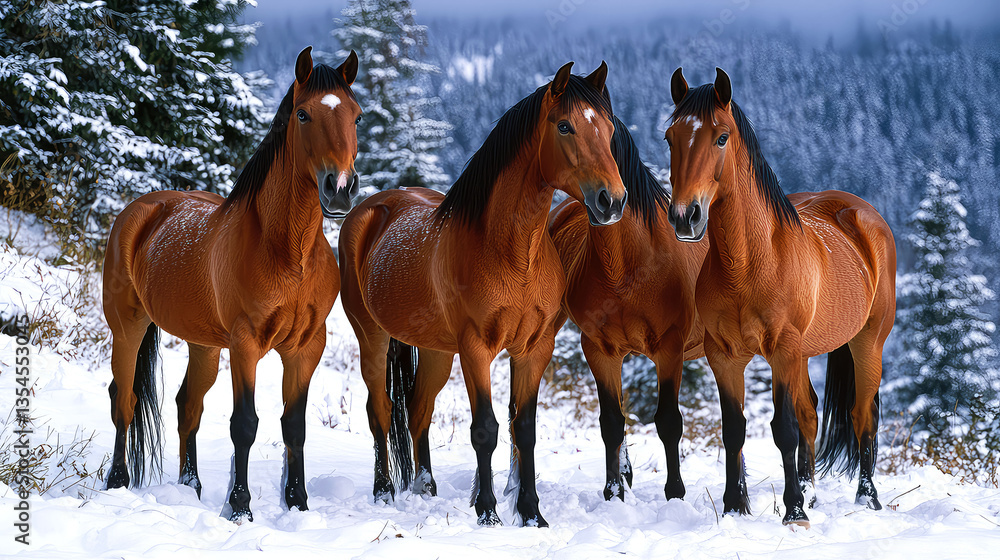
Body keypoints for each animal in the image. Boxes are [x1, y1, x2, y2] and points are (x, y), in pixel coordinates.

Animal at [101, 47, 362, 523]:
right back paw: (117, 481)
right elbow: (245, 424)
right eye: (303, 114)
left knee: (188, 405)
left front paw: (297, 502)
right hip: (127, 327)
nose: (339, 188)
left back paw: (191, 486)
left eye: (356, 115)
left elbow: (293, 425)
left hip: (203, 345)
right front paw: (240, 507)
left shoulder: (306, 347)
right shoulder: (246, 344)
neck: (288, 251)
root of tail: (141, 210)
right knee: (123, 399)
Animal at [338, 62, 627, 527]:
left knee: (418, 411)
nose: (612, 201)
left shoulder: (533, 348)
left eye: (608, 127)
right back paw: (383, 491)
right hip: (373, 338)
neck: (513, 254)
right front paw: (489, 512)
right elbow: (486, 430)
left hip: (436, 351)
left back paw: (426, 488)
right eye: (565, 126)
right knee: (379, 410)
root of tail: (372, 208)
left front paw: (531, 514)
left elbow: (523, 429)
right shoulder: (476, 348)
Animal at [548, 115, 708, 502]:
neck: (625, 267)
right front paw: (613, 492)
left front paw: (675, 493)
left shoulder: (670, 349)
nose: (605, 201)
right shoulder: (599, 349)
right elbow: (611, 421)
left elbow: (668, 421)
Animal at [664, 68, 896, 527]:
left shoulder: (783, 351)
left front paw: (793, 512)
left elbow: (784, 429)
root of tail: (860, 212)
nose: (685, 216)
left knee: (863, 417)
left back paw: (867, 498)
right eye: (670, 137)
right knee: (811, 414)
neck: (749, 264)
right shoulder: (725, 356)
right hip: (806, 354)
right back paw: (811, 491)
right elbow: (734, 429)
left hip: (867, 342)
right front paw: (735, 507)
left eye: (721, 137)